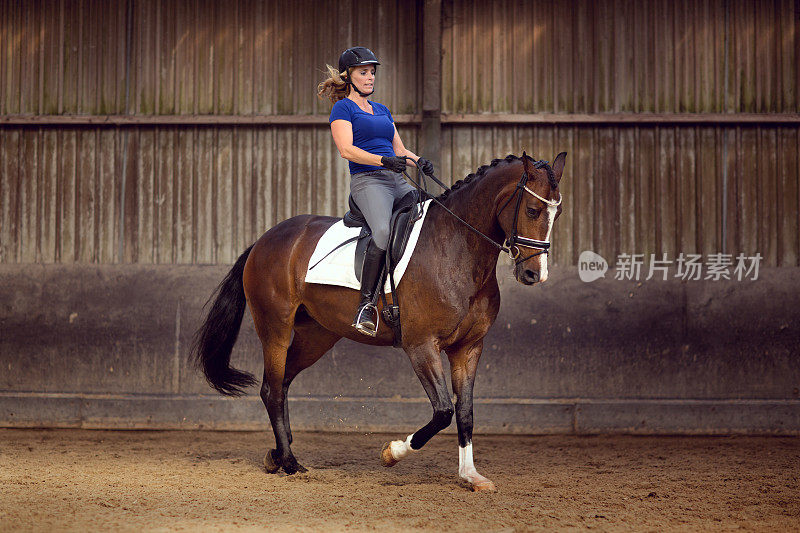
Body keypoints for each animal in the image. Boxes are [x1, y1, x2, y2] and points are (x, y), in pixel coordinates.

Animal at [191, 151, 564, 490]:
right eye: (532, 210)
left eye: (556, 213)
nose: (535, 274)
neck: (457, 248)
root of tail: (265, 239)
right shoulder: (421, 346)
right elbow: (443, 410)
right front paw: (392, 453)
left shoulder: (468, 348)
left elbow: (465, 412)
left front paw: (470, 476)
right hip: (275, 329)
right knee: (271, 389)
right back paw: (290, 462)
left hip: (316, 337)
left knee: (280, 385)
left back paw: (278, 455)